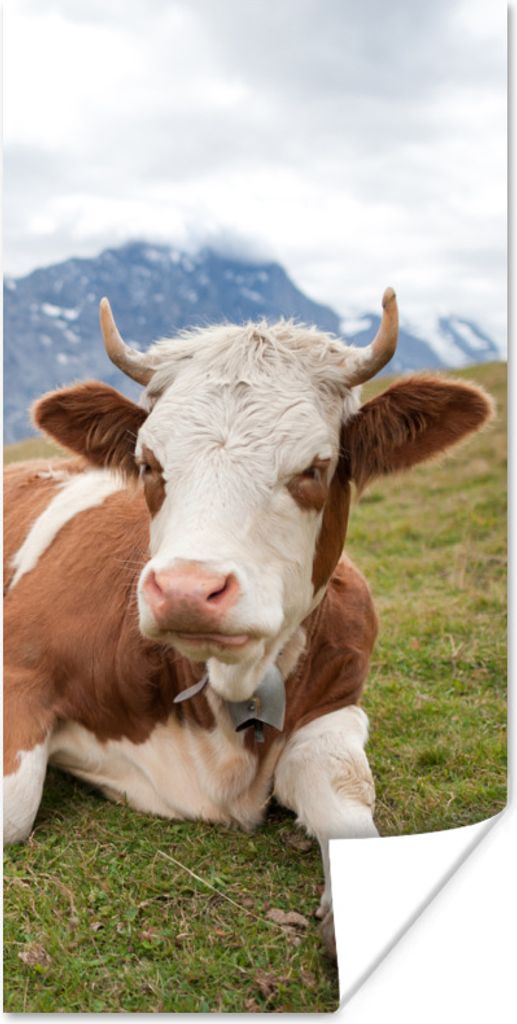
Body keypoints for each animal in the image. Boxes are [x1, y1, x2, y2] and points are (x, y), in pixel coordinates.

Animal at [3, 289, 492, 955]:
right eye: (149, 463)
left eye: (315, 467)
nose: (186, 590)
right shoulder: (18, 669)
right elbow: (14, 808)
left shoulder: (339, 700)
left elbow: (343, 788)